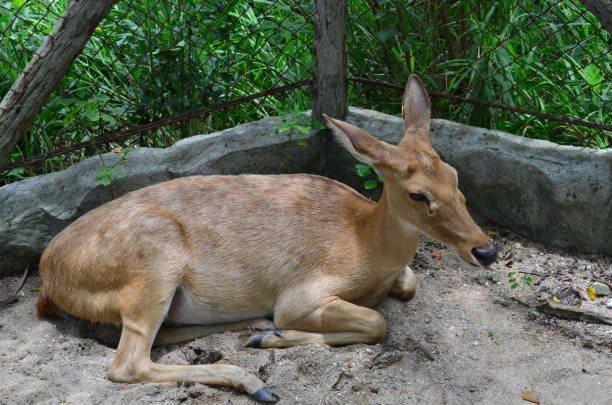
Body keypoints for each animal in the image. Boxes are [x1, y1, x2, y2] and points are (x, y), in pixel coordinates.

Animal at [35, 75, 498, 400]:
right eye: (418, 194)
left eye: (455, 175)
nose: (486, 249)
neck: (364, 243)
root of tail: (48, 280)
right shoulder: (303, 292)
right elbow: (376, 321)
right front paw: (277, 336)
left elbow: (407, 284)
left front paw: (270, 335)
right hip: (153, 262)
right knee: (126, 363)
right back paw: (252, 378)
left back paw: (251, 329)